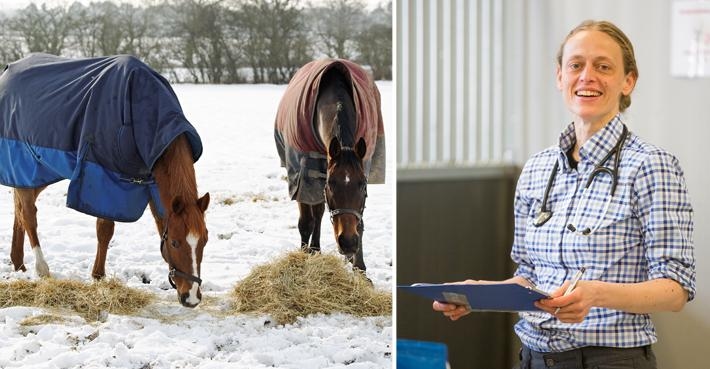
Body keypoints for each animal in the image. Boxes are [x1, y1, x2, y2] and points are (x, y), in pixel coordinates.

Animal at [0, 53, 210, 306]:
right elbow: (105, 229)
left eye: (204, 240)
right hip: (23, 163)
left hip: (37, 173)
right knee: (29, 215)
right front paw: (98, 276)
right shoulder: (104, 179)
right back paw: (41, 269)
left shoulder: (153, 184)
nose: (192, 297)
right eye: (176, 243)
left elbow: (160, 222)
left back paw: (18, 264)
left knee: (20, 211)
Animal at [276, 59, 386, 272]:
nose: (348, 242)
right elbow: (306, 222)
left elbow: (359, 221)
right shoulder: (302, 176)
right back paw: (313, 249)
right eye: (331, 184)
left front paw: (359, 267)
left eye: (363, 184)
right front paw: (305, 256)